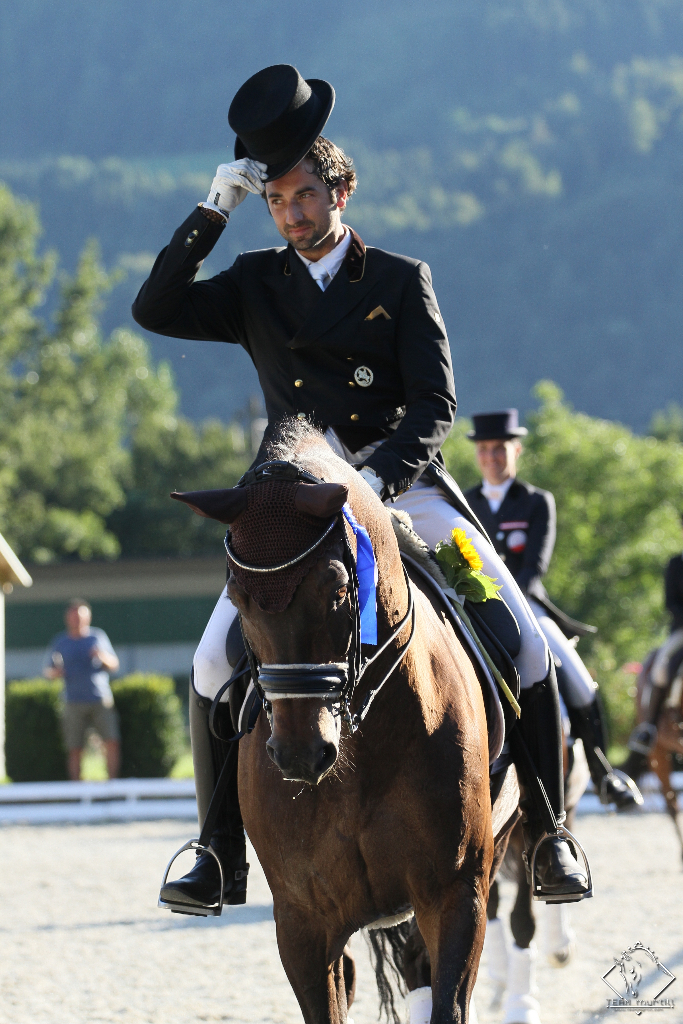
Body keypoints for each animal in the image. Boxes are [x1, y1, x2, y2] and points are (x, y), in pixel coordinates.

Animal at [175, 419, 518, 1019]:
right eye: (237, 596)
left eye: (336, 588)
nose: (300, 754)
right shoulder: (302, 920)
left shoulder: (455, 895)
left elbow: (448, 999)